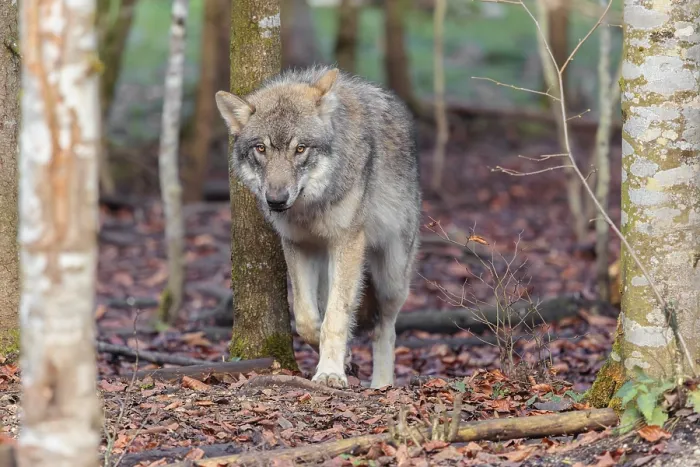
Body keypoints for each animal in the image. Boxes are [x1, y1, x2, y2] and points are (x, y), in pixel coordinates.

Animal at [215, 66, 421, 389]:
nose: (276, 200)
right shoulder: (299, 245)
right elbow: (307, 319)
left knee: (385, 329)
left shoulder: (347, 243)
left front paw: (330, 373)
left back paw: (382, 385)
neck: (310, 207)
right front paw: (341, 359)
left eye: (300, 148)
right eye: (261, 148)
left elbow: (336, 316)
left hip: (392, 278)